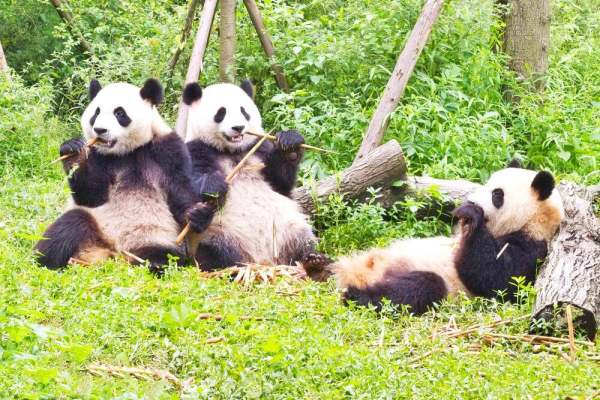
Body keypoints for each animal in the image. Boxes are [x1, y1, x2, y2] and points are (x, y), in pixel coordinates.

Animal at [35, 78, 197, 274]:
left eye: (120, 113)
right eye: (96, 112)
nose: (99, 130)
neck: (127, 152)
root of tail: (112, 254)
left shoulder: (168, 150)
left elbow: (180, 193)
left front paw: (197, 214)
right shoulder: (97, 155)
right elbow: (91, 195)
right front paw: (72, 150)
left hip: (154, 237)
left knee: (165, 256)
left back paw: (155, 263)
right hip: (95, 227)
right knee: (68, 225)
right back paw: (43, 262)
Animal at [180, 79, 316, 270]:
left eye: (244, 111)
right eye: (221, 113)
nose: (238, 127)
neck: (233, 151)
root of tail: (264, 262)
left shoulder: (259, 148)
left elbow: (280, 183)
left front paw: (290, 145)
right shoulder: (197, 148)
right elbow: (187, 186)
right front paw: (214, 187)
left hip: (288, 229)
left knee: (303, 242)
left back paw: (314, 261)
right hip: (221, 234)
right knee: (216, 254)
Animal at [304, 167, 564, 314]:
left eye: (496, 194)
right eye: (487, 185)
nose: (471, 200)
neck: (533, 221)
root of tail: (354, 275)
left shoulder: (532, 249)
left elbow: (498, 279)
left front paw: (471, 215)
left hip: (437, 285)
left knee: (418, 288)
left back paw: (355, 295)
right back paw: (318, 265)